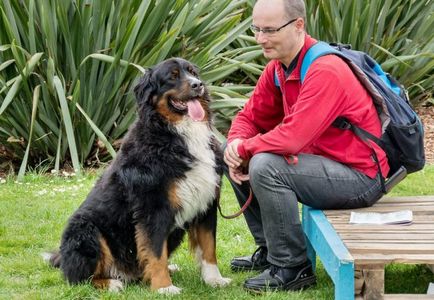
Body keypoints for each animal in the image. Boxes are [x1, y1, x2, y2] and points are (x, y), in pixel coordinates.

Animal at [45, 57, 231, 294]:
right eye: (172, 76)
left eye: (192, 72)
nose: (198, 85)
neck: (176, 133)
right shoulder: (153, 207)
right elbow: (155, 252)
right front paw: (164, 288)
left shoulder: (206, 203)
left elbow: (208, 249)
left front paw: (214, 279)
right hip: (88, 231)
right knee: (79, 277)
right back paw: (111, 283)